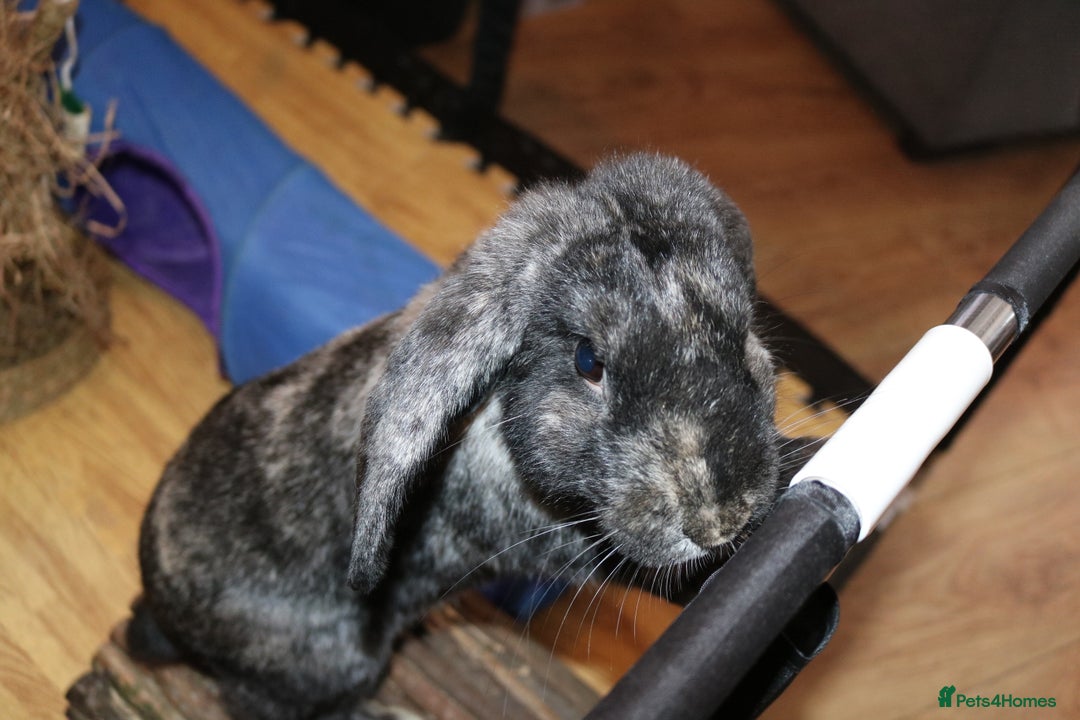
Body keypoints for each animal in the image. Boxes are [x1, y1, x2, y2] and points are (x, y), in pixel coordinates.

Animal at [131, 153, 782, 720]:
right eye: (588, 360)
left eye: (742, 329)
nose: (720, 519)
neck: (493, 416)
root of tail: (159, 613)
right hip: (330, 664)